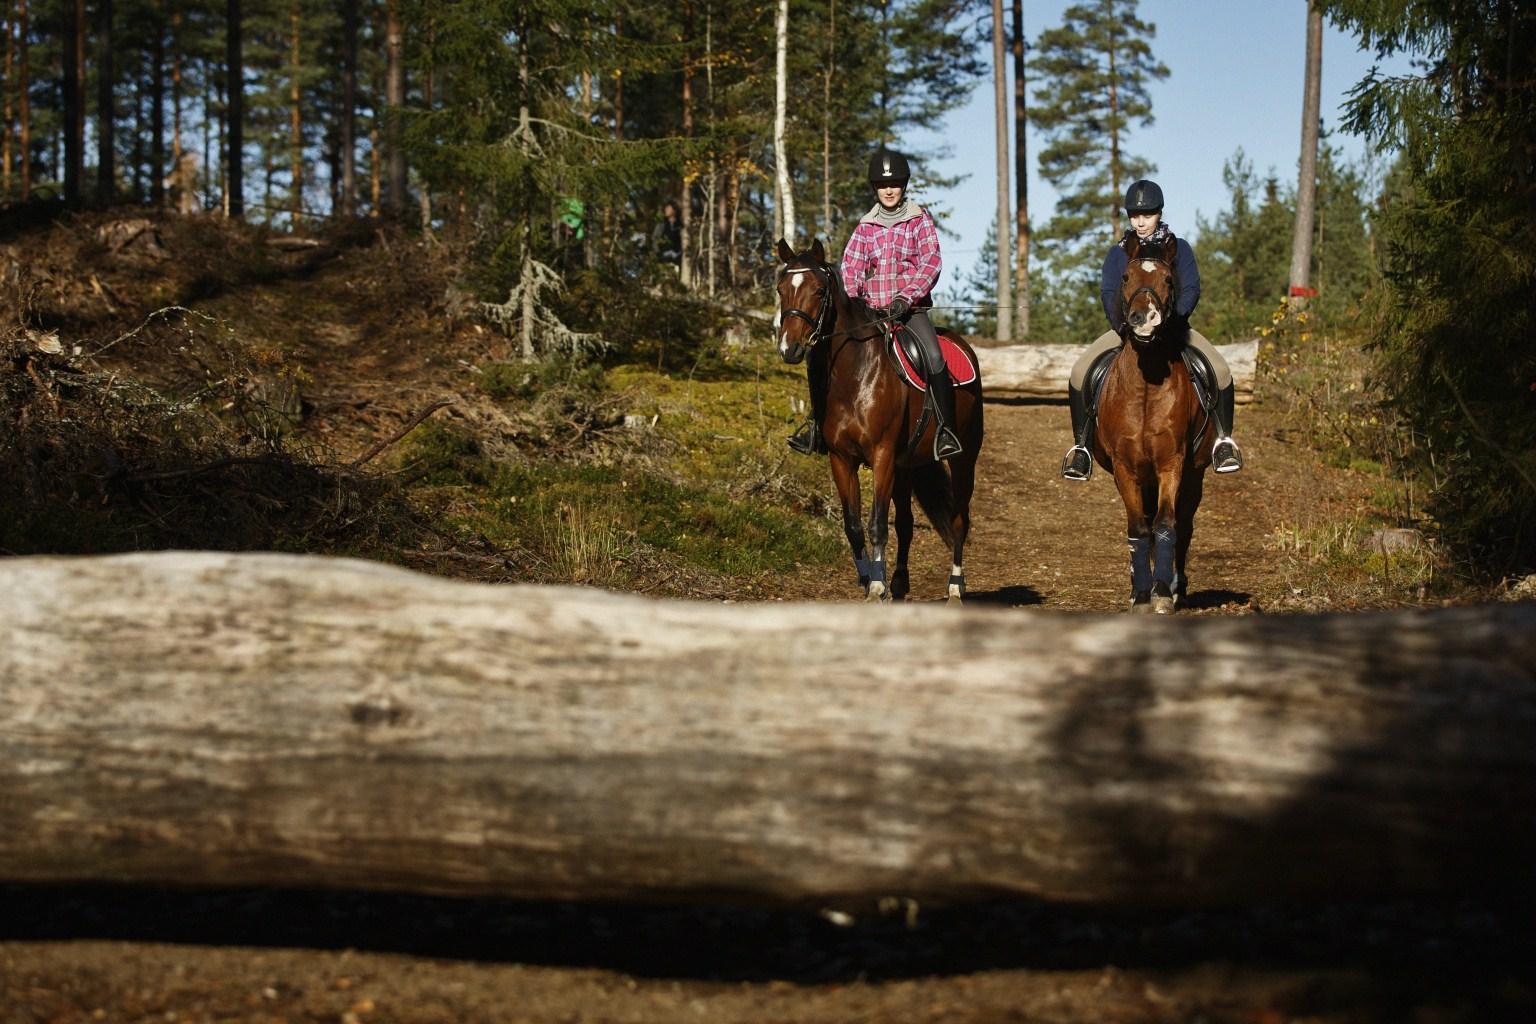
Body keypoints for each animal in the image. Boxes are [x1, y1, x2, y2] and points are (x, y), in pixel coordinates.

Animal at [780, 236, 983, 604]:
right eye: (780, 289)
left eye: (819, 291)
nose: (790, 348)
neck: (855, 375)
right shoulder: (841, 459)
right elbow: (853, 525)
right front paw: (868, 579)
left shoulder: (882, 456)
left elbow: (877, 523)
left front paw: (876, 587)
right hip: (906, 465)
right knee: (905, 523)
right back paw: (900, 584)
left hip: (964, 459)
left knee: (960, 519)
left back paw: (955, 587)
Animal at [1087, 231, 1216, 614]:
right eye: (1126, 277)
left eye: (1169, 280)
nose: (1145, 318)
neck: (1145, 386)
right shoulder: (1125, 468)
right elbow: (1138, 529)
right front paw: (1141, 595)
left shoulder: (1171, 463)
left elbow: (1165, 525)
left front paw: (1161, 593)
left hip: (1193, 473)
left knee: (1183, 526)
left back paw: (1175, 585)